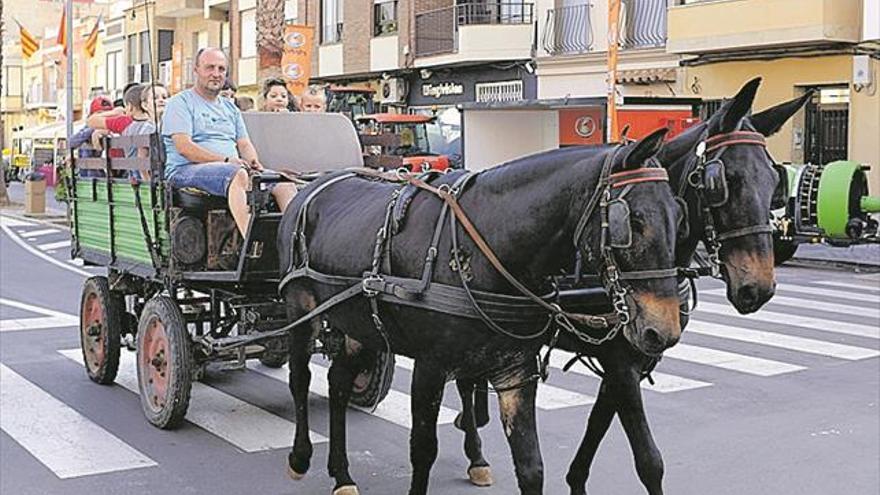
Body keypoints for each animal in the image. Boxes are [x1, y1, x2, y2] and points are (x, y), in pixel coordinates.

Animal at [278, 129, 684, 495]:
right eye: (631, 223)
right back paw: (300, 457)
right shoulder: (430, 367)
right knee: (300, 379)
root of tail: (309, 186)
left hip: (358, 325)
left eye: (677, 218)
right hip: (301, 312)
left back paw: (342, 475)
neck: (487, 243)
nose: (663, 331)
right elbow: (423, 450)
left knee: (338, 383)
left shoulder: (516, 369)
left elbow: (531, 465)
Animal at [454, 78, 812, 495]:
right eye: (724, 182)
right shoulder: (621, 361)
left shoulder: (632, 357)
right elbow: (648, 458)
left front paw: (576, 481)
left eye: (774, 180)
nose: (759, 287)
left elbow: (598, 424)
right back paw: (476, 455)